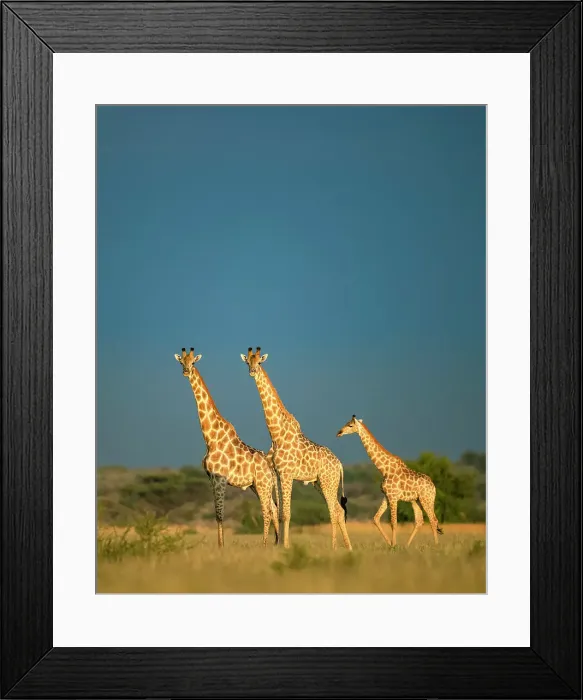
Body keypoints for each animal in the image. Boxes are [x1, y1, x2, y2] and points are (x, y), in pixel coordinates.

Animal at [174, 347, 279, 547]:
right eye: (181, 362)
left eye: (193, 362)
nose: (185, 371)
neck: (210, 438)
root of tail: (270, 466)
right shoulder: (211, 478)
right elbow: (217, 513)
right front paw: (219, 545)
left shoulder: (220, 477)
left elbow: (219, 513)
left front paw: (221, 547)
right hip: (258, 485)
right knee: (274, 509)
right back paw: (276, 543)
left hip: (262, 484)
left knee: (267, 511)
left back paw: (264, 544)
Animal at [240, 347, 352, 551]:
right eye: (247, 362)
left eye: (259, 362)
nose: (252, 371)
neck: (276, 434)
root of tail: (339, 464)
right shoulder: (278, 474)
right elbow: (280, 511)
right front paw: (279, 544)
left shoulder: (287, 473)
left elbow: (286, 513)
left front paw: (285, 546)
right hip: (319, 483)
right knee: (339, 510)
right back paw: (348, 547)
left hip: (328, 482)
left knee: (333, 511)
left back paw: (334, 546)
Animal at [336, 415, 443, 547]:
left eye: (350, 425)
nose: (339, 433)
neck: (384, 469)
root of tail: (433, 486)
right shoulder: (386, 496)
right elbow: (376, 518)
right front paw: (389, 543)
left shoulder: (393, 496)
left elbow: (394, 522)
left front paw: (394, 545)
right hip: (416, 500)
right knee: (419, 521)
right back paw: (407, 546)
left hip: (426, 499)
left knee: (433, 520)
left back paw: (436, 545)